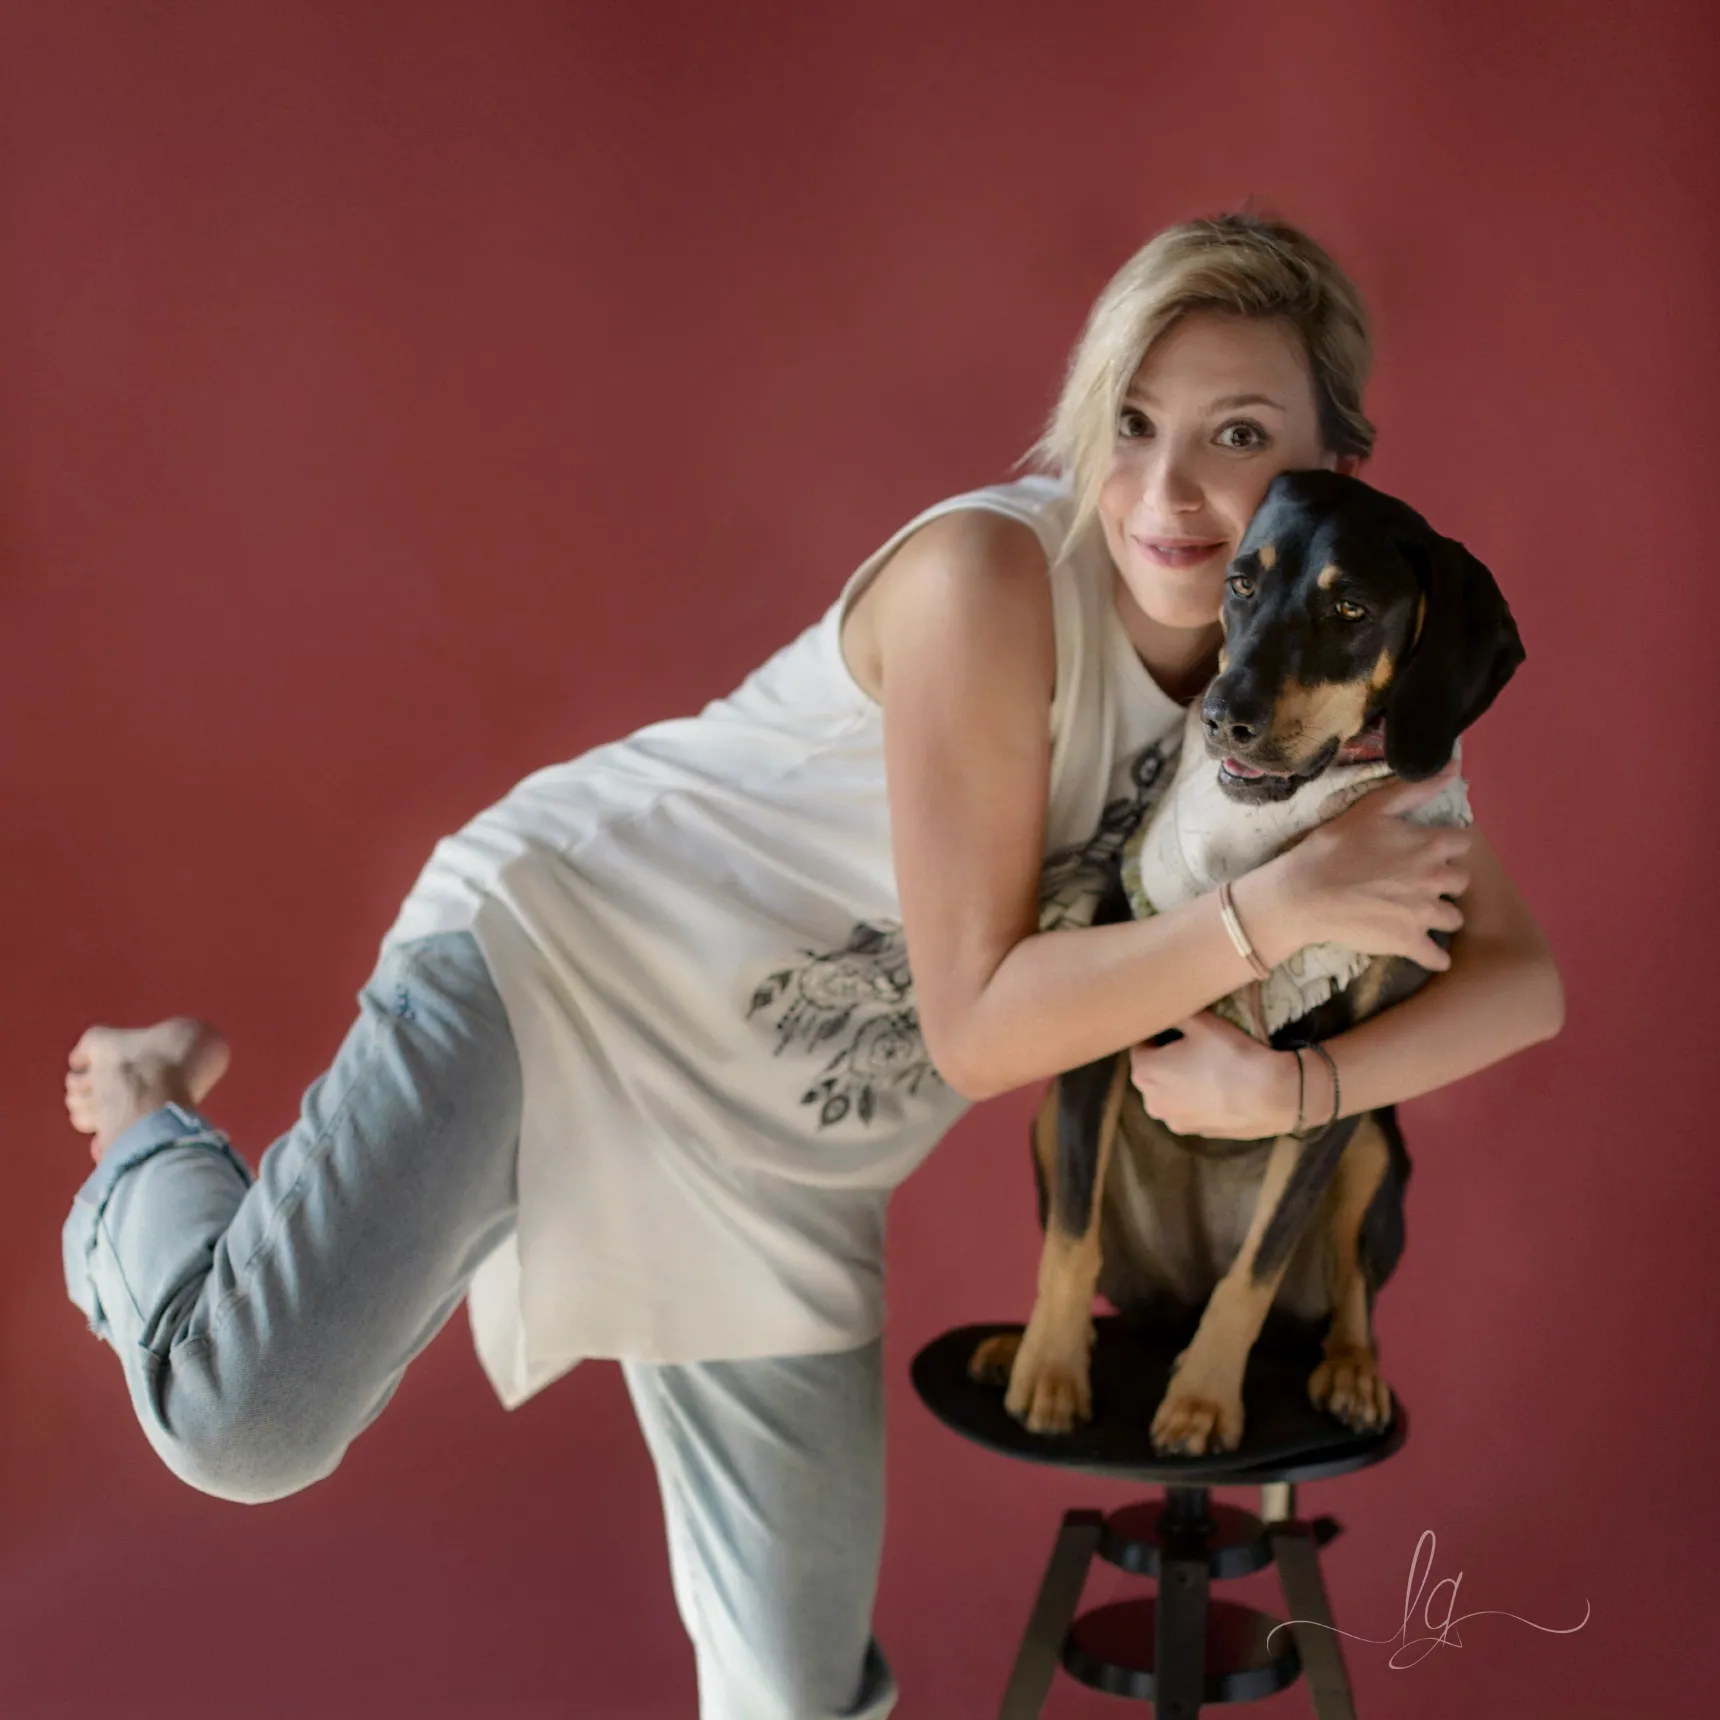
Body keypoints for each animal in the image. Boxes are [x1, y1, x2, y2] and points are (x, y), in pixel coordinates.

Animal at [969, 468, 1525, 1455]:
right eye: (1240, 583)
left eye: (1350, 608)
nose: (1226, 717)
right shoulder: (1090, 1045)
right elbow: (1070, 1240)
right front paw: (1049, 1371)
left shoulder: (1337, 1086)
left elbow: (1259, 1266)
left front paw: (1202, 1401)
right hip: (1050, 1128)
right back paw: (1014, 1345)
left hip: (1374, 1147)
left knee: (1345, 1293)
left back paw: (1350, 1371)